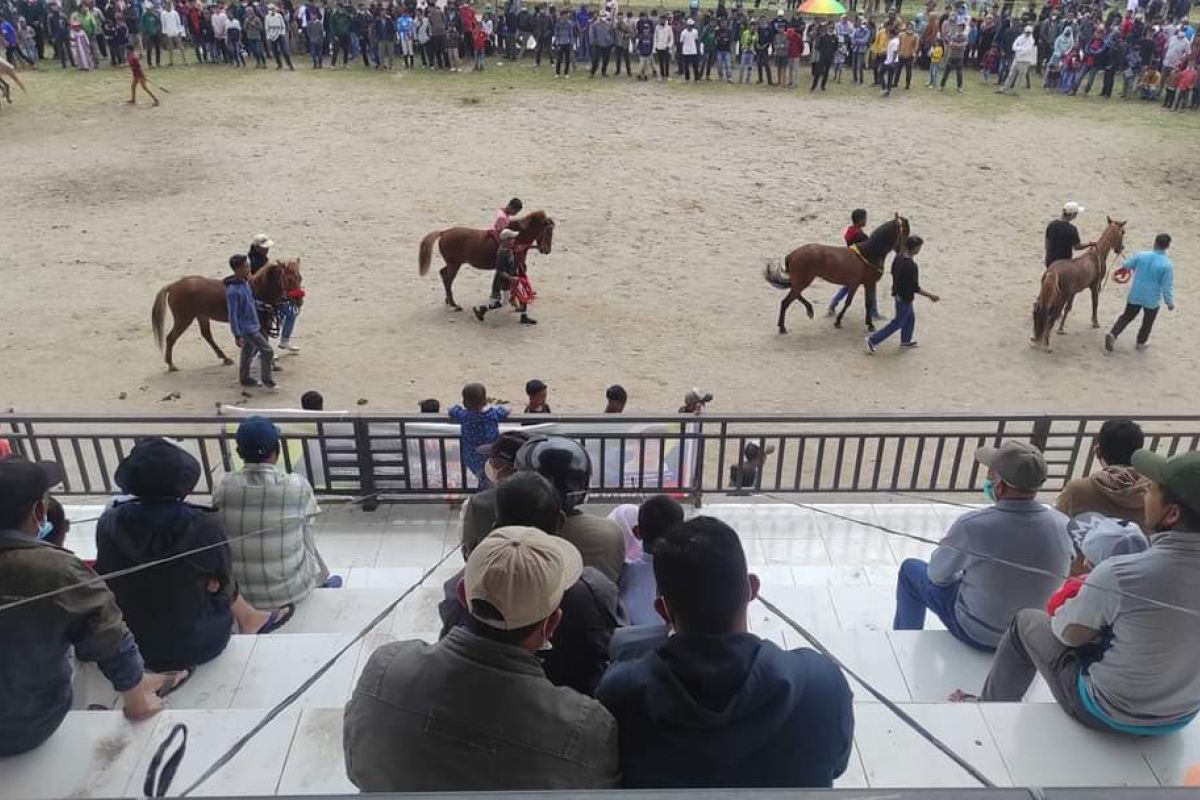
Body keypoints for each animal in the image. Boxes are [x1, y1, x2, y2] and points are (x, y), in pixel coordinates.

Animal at [151, 257, 304, 371]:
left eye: (300, 278)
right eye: (289, 279)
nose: (299, 301)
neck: (256, 291)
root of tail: (173, 285)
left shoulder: (264, 325)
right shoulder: (260, 325)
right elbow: (264, 344)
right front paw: (270, 364)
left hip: (201, 316)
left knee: (207, 335)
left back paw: (225, 358)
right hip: (184, 319)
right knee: (171, 338)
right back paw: (171, 365)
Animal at [417, 209, 556, 309]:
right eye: (549, 232)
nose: (547, 250)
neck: (517, 239)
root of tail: (443, 232)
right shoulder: (515, 265)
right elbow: (515, 281)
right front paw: (515, 302)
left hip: (453, 264)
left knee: (443, 273)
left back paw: (448, 300)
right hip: (454, 264)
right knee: (447, 279)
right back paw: (453, 304)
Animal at [768, 212, 907, 335]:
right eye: (904, 233)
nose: (903, 251)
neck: (869, 253)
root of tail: (792, 255)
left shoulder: (857, 284)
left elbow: (852, 302)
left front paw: (840, 321)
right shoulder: (868, 283)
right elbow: (862, 303)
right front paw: (869, 325)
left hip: (801, 281)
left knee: (795, 295)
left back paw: (808, 311)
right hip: (804, 281)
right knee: (786, 301)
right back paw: (783, 327)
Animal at [1032, 215, 1123, 350]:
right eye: (1123, 232)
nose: (1121, 248)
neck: (1097, 254)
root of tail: (1053, 272)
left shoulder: (1073, 292)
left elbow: (1068, 309)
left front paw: (1061, 328)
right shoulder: (1095, 286)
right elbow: (1095, 303)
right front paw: (1095, 322)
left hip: (1046, 295)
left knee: (1039, 309)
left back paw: (1035, 337)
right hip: (1060, 298)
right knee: (1051, 317)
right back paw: (1047, 344)